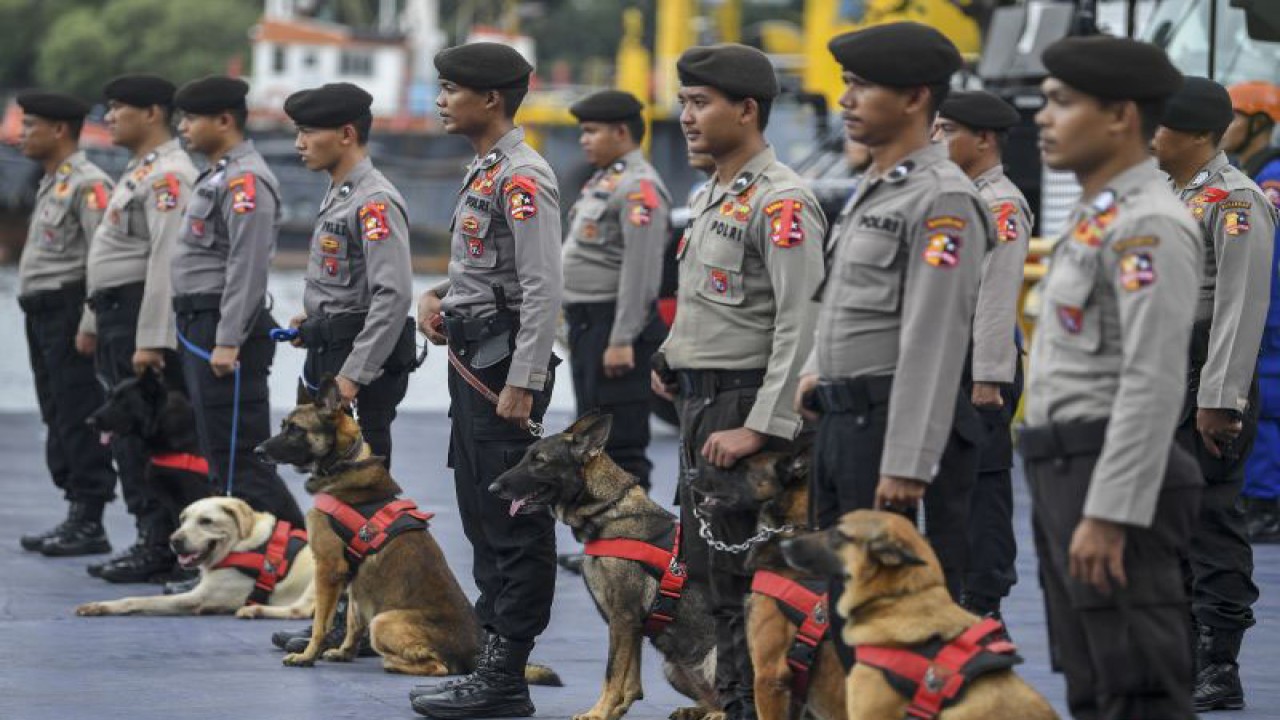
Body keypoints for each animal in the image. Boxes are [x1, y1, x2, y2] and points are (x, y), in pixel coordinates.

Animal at [256, 376, 560, 681]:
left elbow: (321, 622)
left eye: (296, 429)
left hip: (383, 620)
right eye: (283, 425)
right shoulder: (353, 579)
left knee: (438, 666)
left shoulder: (328, 569)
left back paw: (392, 663)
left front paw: (307, 655)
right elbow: (353, 619)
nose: (258, 452)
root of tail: (473, 655)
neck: (345, 462)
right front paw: (344, 651)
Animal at [488, 409, 721, 717]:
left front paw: (598, 713)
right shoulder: (630, 625)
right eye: (525, 457)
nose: (492, 487)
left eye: (540, 461)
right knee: (712, 697)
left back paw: (717, 713)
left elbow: (612, 674)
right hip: (673, 667)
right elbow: (630, 684)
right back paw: (696, 711)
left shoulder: (623, 618)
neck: (607, 510)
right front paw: (612, 712)